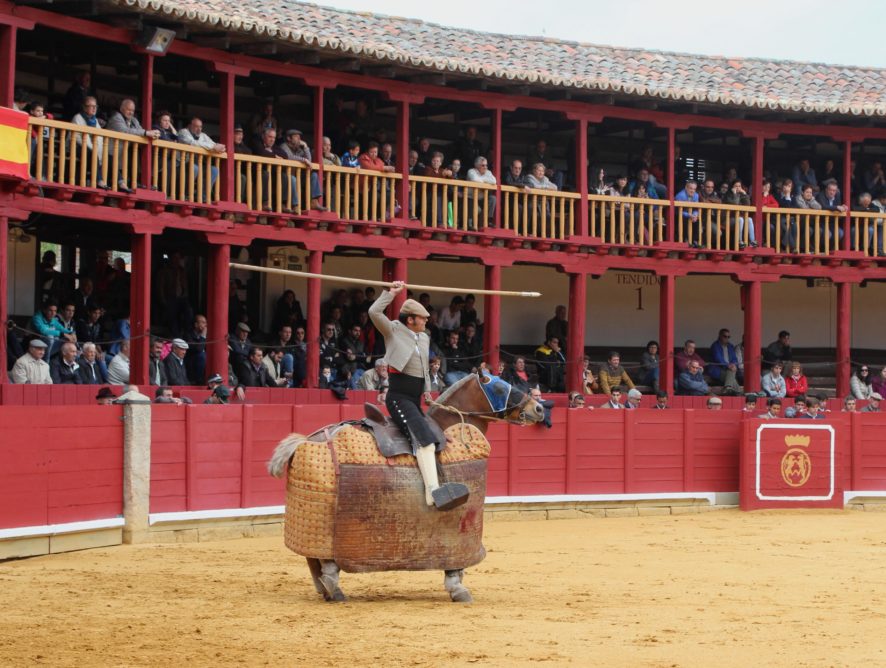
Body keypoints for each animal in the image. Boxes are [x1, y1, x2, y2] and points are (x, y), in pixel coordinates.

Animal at [268, 374, 548, 604]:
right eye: (499, 386)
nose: (538, 408)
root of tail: (305, 440)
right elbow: (456, 563)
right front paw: (457, 589)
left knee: (312, 557)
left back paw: (325, 590)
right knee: (324, 561)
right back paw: (333, 588)